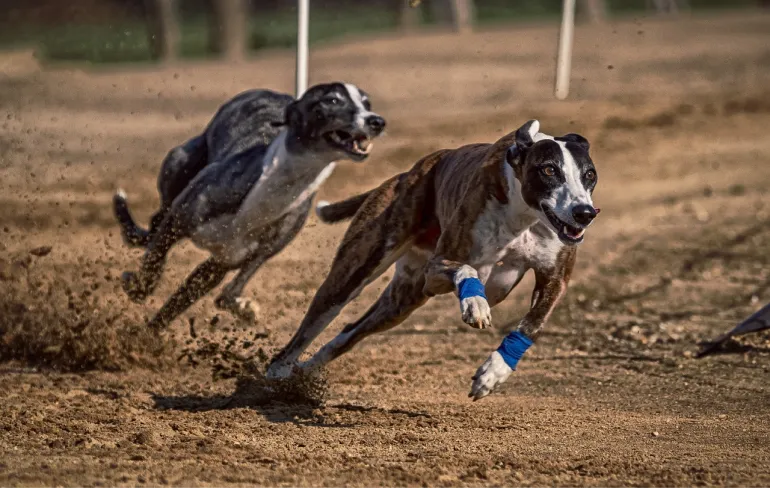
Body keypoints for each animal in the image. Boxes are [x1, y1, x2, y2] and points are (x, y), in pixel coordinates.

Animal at [113, 83, 384, 328]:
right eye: (332, 100)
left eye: (367, 103)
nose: (377, 121)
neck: (273, 187)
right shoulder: (177, 222)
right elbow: (153, 265)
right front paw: (137, 288)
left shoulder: (222, 264)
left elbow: (185, 303)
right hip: (179, 165)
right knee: (154, 224)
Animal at [268, 119, 596, 400]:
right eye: (549, 170)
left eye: (589, 175)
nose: (585, 213)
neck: (526, 215)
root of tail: (406, 174)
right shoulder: (437, 268)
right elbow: (467, 269)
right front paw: (475, 305)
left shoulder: (555, 278)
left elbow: (532, 323)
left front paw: (494, 372)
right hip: (357, 271)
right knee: (314, 322)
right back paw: (278, 372)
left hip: (401, 302)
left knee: (349, 332)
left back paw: (305, 372)